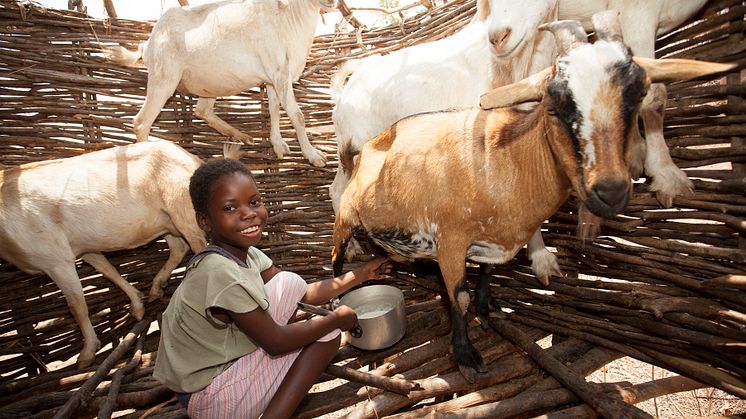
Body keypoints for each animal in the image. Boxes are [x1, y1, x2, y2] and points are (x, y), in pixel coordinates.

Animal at [0, 142, 208, 368]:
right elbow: (109, 271)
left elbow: (76, 306)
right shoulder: (84, 248)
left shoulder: (56, 259)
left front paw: (87, 353)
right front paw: (137, 305)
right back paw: (155, 289)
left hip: (184, 214)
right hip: (167, 221)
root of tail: (192, 159)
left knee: (199, 247)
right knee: (179, 249)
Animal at [105, 0, 338, 168]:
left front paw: (278, 146)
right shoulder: (280, 73)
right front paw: (314, 156)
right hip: (163, 80)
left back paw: (240, 136)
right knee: (141, 122)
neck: (287, 16)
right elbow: (296, 115)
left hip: (207, 85)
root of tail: (148, 43)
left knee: (202, 111)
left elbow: (274, 109)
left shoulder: (274, 78)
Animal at [328, 0, 560, 286]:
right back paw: (350, 245)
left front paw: (541, 258)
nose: (499, 37)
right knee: (339, 189)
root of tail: (351, 81)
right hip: (353, 152)